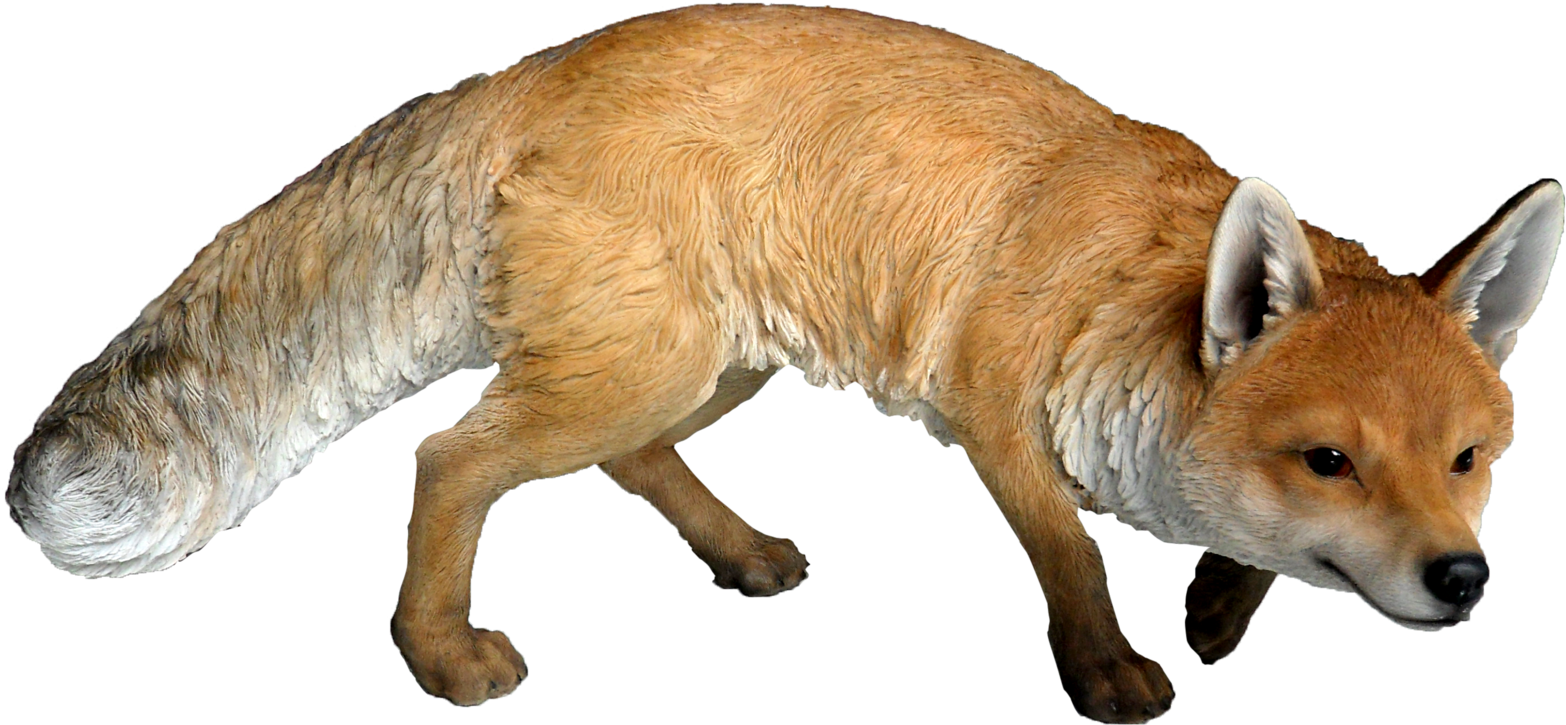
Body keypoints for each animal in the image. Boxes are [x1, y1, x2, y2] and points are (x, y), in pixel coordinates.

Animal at [6, 4, 1559, 723]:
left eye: (1469, 462)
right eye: (1329, 457)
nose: (1463, 578)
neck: (1124, 299)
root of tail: (549, 61)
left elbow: (1240, 553)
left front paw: (1221, 611)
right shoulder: (993, 415)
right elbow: (1067, 550)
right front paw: (1113, 669)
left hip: (709, 365)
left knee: (626, 460)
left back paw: (741, 555)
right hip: (637, 362)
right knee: (449, 457)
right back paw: (442, 651)